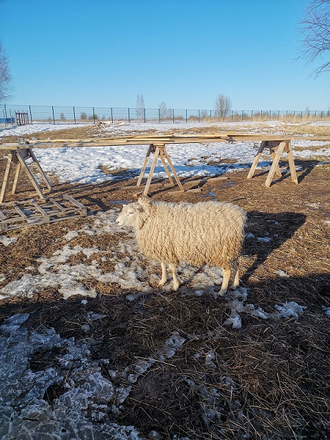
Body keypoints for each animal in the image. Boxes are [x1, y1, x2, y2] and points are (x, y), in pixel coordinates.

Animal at [116, 199, 245, 296]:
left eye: (131, 212)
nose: (116, 222)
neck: (149, 218)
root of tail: (239, 216)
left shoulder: (169, 248)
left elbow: (172, 269)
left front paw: (175, 286)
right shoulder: (163, 247)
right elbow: (163, 265)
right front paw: (162, 281)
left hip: (221, 250)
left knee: (227, 271)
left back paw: (222, 291)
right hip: (231, 248)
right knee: (236, 264)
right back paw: (235, 285)